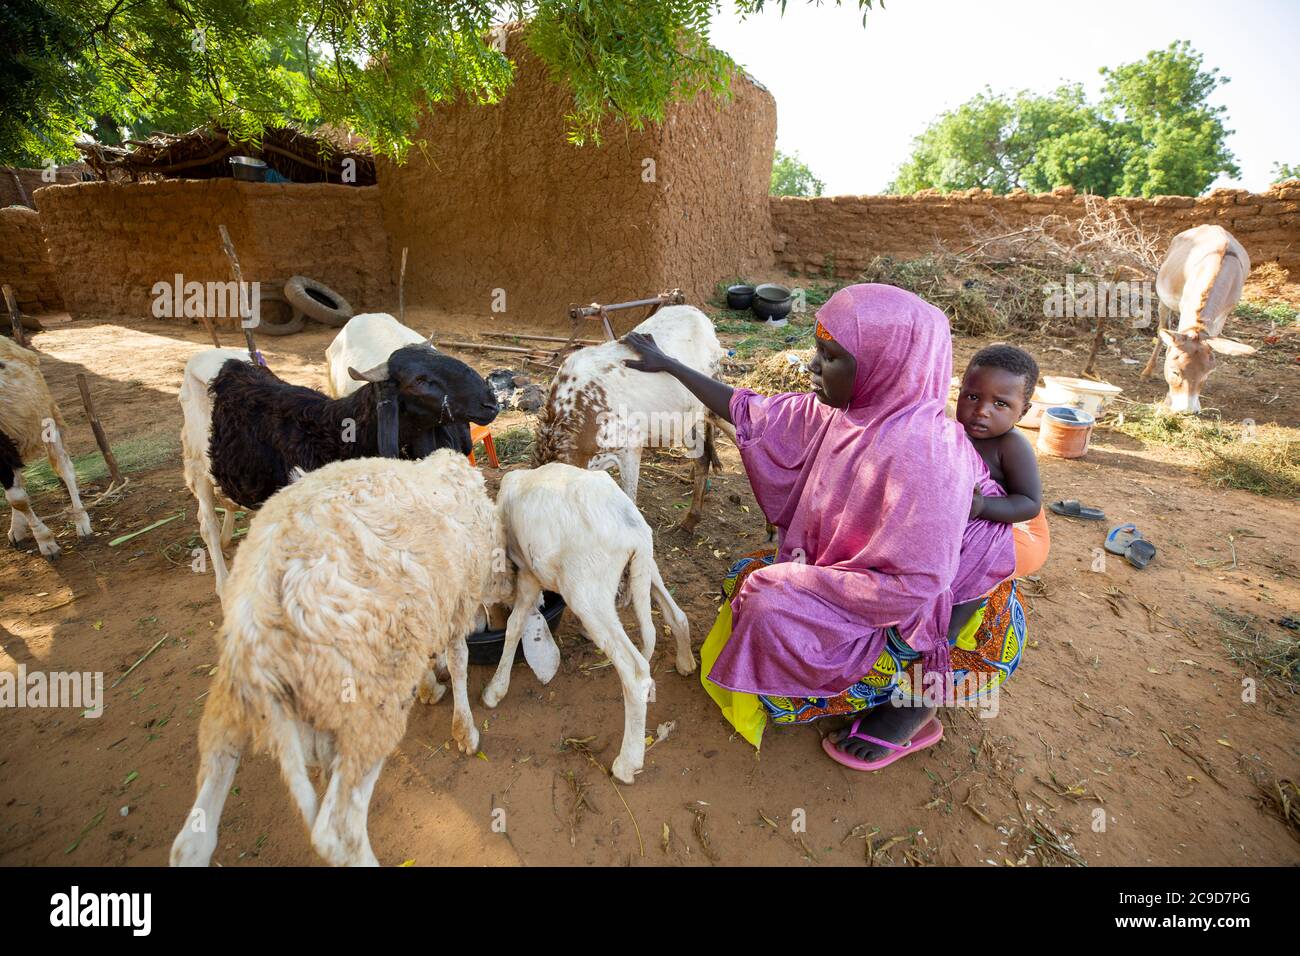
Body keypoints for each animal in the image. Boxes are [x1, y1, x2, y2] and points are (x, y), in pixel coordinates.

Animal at [0, 338, 91, 556]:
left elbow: (17, 498)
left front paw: (45, 541)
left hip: (47, 417)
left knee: (64, 467)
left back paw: (81, 521)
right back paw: (17, 529)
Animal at [175, 450, 509, 868]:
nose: (492, 621)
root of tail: (257, 621)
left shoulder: (416, 617)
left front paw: (429, 686)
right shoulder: (453, 602)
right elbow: (460, 661)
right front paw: (464, 729)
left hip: (228, 708)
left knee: (191, 840)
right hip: (364, 708)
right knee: (337, 831)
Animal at [486, 463, 691, 785]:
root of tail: (635, 532)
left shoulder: (529, 574)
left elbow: (514, 624)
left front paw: (495, 689)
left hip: (587, 593)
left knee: (635, 671)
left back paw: (626, 764)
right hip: (645, 567)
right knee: (676, 615)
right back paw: (685, 662)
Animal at [530, 304, 733, 530]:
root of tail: (698, 314)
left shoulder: (630, 447)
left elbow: (630, 498)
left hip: (713, 403)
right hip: (684, 418)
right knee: (702, 457)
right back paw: (690, 519)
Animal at [1144, 228, 1253, 418]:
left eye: (1206, 375)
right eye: (1174, 371)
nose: (1186, 411)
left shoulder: (1221, 318)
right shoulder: (1184, 308)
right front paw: (1168, 400)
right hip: (1164, 302)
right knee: (1161, 331)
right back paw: (1147, 371)